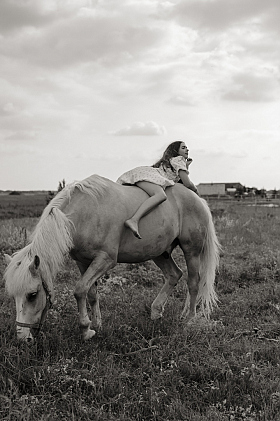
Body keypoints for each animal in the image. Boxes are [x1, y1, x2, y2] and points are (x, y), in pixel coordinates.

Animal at [3, 174, 220, 342]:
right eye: (13, 296)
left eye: (32, 294)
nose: (22, 338)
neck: (83, 214)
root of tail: (197, 199)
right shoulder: (83, 262)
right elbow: (90, 292)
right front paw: (97, 324)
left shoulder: (105, 260)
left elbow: (79, 290)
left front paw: (86, 330)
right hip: (159, 252)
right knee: (174, 275)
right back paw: (156, 311)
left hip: (191, 251)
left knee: (193, 282)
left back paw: (189, 319)